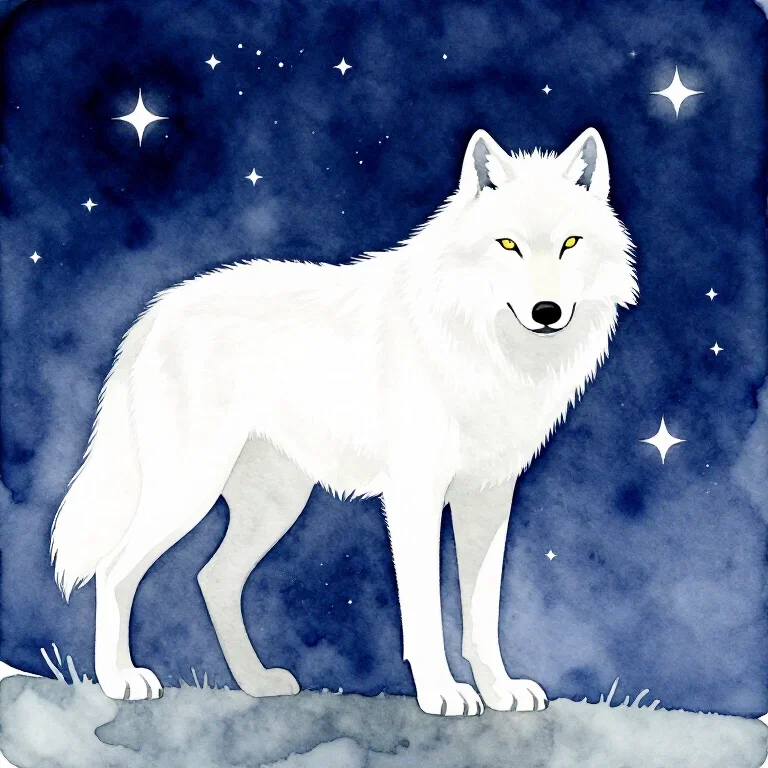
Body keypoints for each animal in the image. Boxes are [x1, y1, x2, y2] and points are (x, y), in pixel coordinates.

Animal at [50, 127, 637, 716]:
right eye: (508, 245)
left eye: (570, 243)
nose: (546, 312)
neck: (487, 350)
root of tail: (156, 310)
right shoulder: (414, 496)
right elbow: (424, 610)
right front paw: (442, 692)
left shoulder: (489, 497)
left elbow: (483, 613)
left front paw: (500, 691)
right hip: (188, 491)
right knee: (114, 571)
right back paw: (120, 680)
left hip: (275, 505)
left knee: (213, 578)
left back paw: (256, 682)